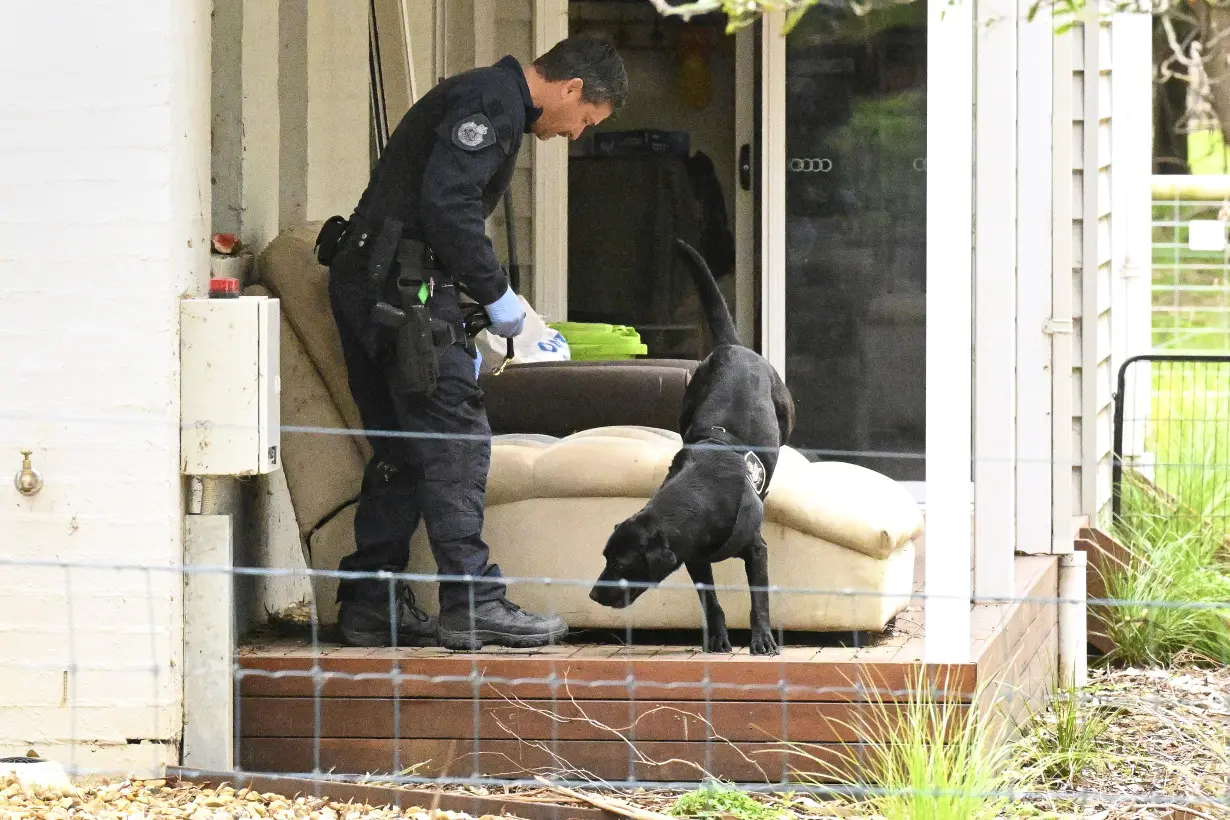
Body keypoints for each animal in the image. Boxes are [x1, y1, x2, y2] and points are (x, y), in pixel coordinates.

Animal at [587, 237, 797, 654]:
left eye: (623, 564)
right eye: (605, 556)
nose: (593, 594)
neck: (703, 494)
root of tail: (733, 347)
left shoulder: (757, 549)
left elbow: (759, 599)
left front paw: (763, 639)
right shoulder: (693, 558)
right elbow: (710, 600)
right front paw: (716, 638)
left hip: (786, 413)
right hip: (685, 408)